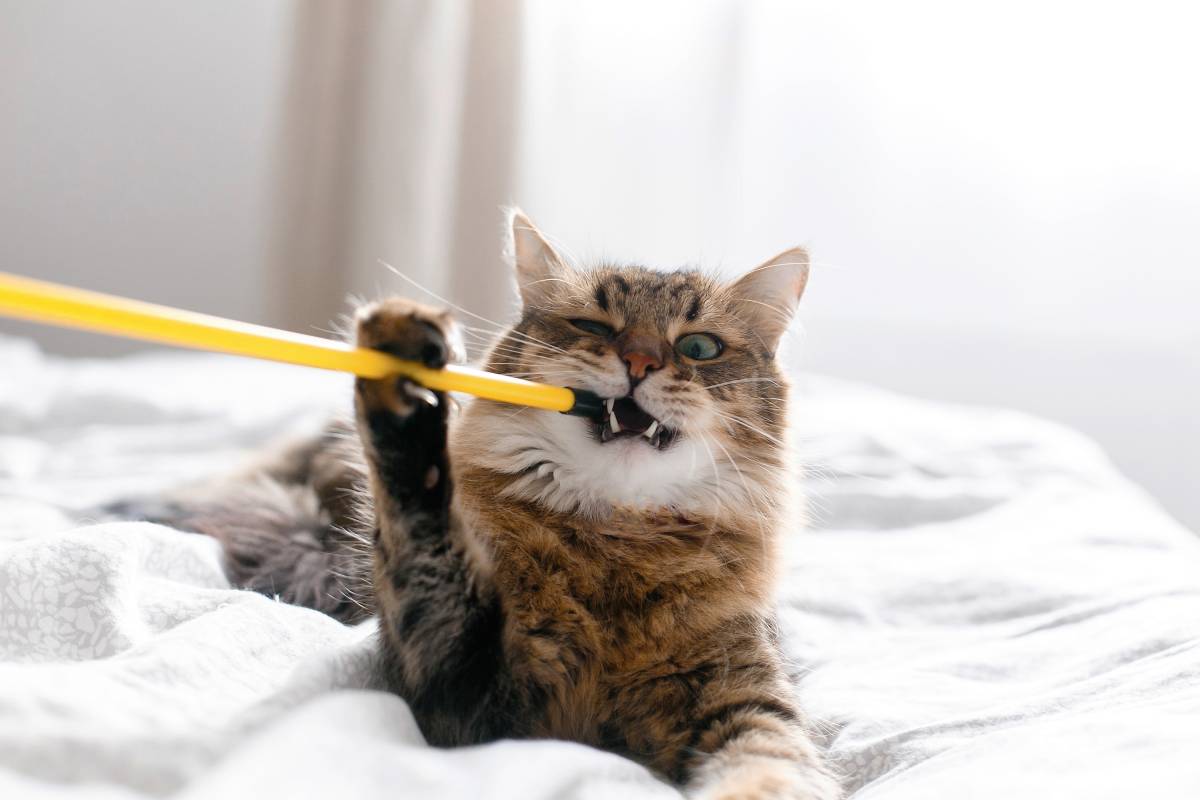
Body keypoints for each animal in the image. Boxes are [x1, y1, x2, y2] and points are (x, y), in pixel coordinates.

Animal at [117, 212, 840, 800]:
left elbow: (771, 765)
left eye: (698, 347)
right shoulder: (466, 692)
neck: (615, 542)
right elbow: (419, 514)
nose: (638, 362)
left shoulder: (746, 695)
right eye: (592, 327)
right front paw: (404, 379)